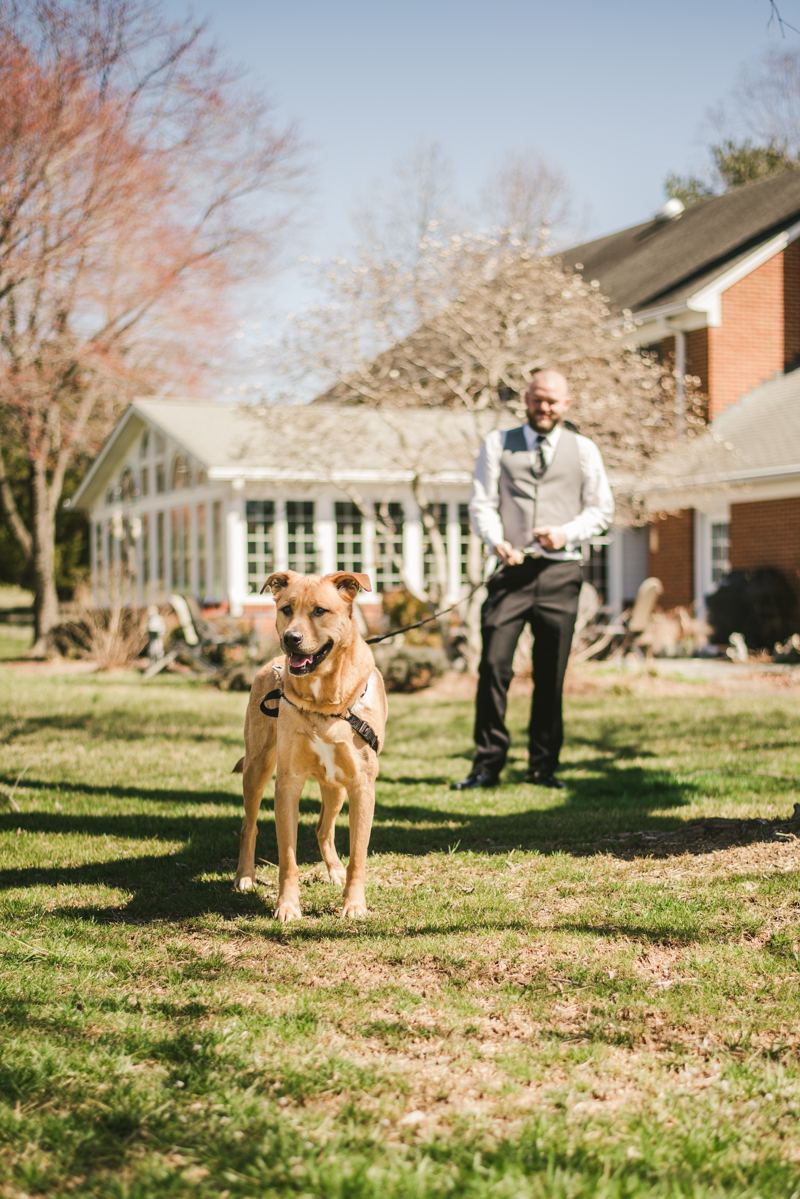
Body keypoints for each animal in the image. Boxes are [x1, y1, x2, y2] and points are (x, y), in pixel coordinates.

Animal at [232, 565, 386, 920]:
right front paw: (287, 906)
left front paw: (354, 904)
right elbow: (287, 859)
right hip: (257, 768)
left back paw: (336, 871)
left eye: (319, 611)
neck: (325, 704)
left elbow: (359, 856)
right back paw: (245, 876)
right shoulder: (288, 783)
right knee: (249, 825)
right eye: (287, 608)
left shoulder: (362, 785)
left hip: (337, 787)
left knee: (323, 829)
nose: (291, 639)